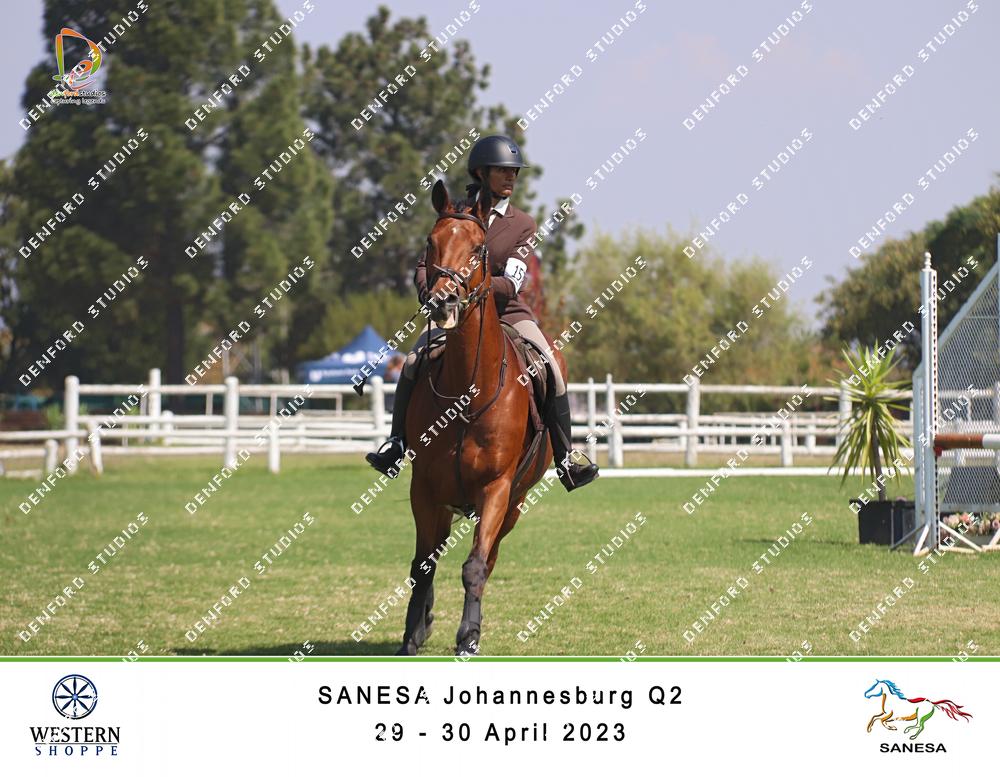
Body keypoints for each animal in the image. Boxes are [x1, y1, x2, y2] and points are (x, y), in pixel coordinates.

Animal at [394, 179, 565, 656]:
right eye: (431, 243)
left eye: (478, 248)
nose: (443, 301)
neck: (467, 394)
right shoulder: (425, 487)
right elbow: (422, 563)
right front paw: (412, 633)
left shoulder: (496, 489)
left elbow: (474, 566)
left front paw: (469, 636)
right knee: (434, 551)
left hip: (514, 505)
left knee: (487, 561)